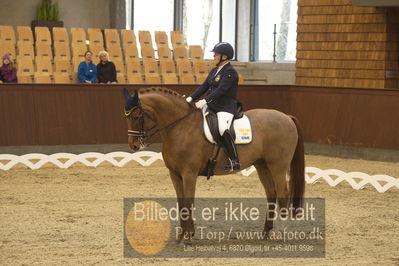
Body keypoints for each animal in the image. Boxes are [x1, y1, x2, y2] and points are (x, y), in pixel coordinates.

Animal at [123, 87, 304, 243]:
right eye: (126, 117)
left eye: (136, 116)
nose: (134, 145)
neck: (181, 127)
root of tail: (286, 117)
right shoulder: (174, 174)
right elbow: (181, 203)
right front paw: (182, 235)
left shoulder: (189, 173)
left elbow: (189, 202)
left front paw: (188, 237)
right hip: (262, 165)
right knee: (271, 194)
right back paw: (266, 233)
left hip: (278, 166)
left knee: (283, 194)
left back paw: (280, 234)